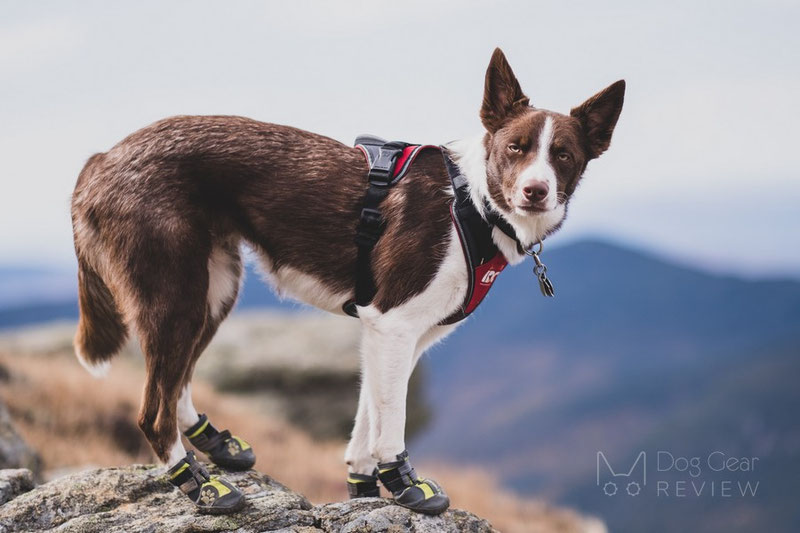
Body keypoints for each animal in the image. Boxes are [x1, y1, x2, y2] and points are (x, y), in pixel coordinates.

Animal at [70, 50, 624, 516]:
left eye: (565, 157)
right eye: (516, 147)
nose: (535, 191)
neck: (473, 205)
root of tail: (102, 157)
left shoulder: (393, 335)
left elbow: (366, 417)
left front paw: (365, 487)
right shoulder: (394, 325)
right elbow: (392, 420)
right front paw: (405, 484)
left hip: (214, 290)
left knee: (177, 382)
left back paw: (216, 444)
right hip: (175, 295)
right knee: (152, 409)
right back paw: (198, 484)